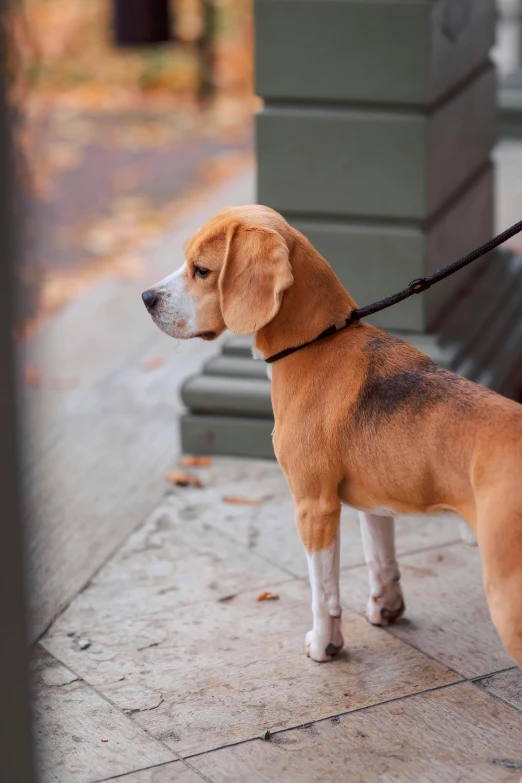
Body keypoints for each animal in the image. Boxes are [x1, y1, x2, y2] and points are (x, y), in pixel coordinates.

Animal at [142, 205, 520, 664]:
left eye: (201, 270)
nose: (146, 298)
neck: (316, 342)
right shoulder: (375, 504)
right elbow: (380, 560)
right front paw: (386, 608)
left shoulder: (314, 507)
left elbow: (322, 592)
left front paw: (325, 644)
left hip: (507, 598)